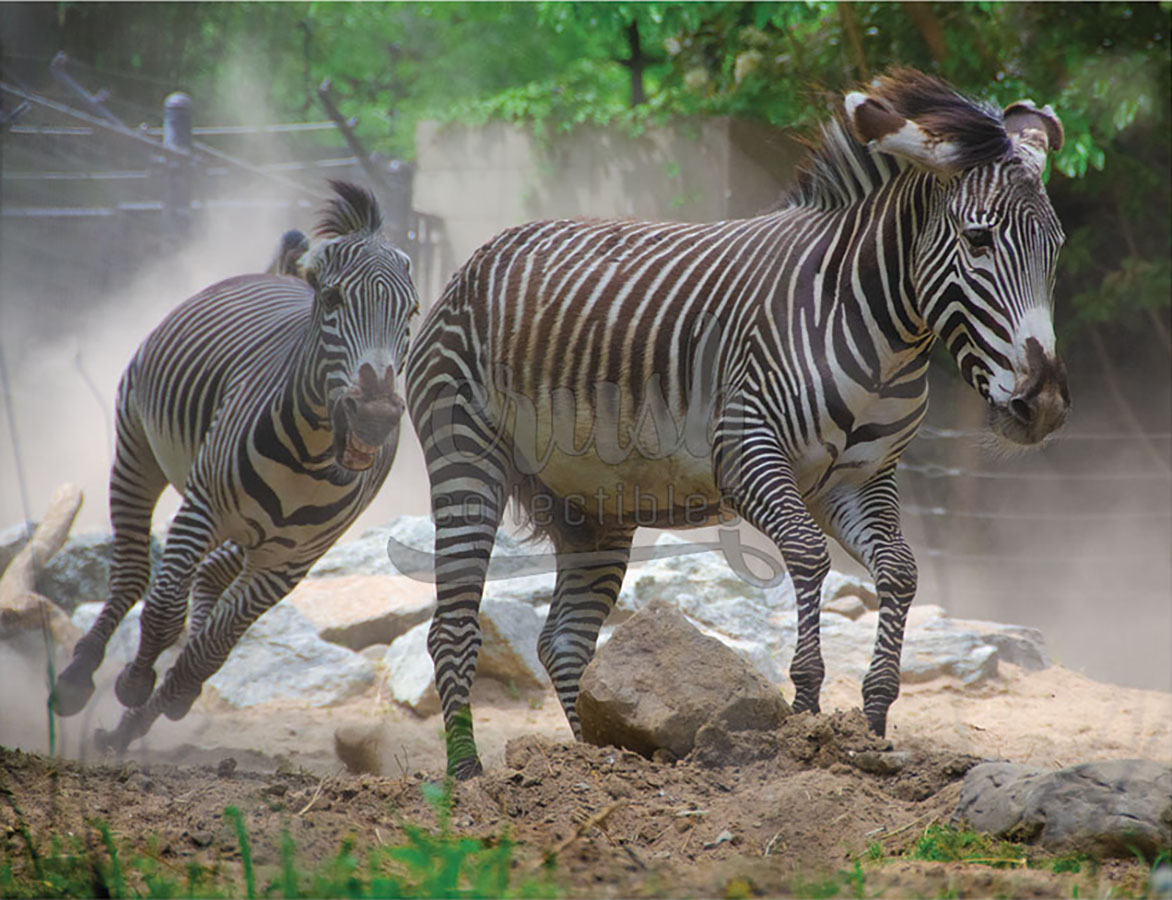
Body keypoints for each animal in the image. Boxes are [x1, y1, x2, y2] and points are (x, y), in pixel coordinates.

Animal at [52, 180, 418, 752]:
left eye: (412, 314)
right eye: (333, 300)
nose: (375, 419)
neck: (311, 458)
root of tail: (279, 275)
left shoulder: (289, 562)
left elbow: (211, 647)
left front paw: (154, 708)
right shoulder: (201, 507)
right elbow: (164, 611)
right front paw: (135, 682)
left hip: (246, 532)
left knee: (207, 581)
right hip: (137, 446)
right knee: (134, 574)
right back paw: (76, 678)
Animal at [406, 69, 1070, 779]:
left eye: (1055, 249)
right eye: (978, 240)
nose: (1044, 405)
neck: (885, 335)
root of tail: (487, 251)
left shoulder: (862, 479)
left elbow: (899, 569)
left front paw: (872, 723)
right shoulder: (747, 453)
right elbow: (807, 555)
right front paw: (805, 713)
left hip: (594, 507)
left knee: (563, 641)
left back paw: (594, 766)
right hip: (465, 458)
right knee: (452, 628)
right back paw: (470, 779)